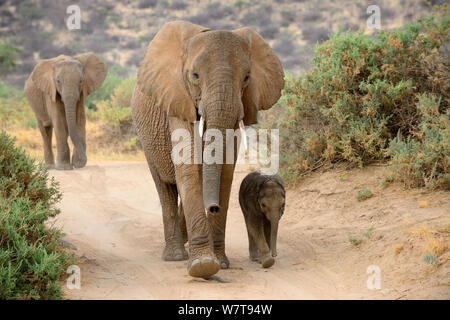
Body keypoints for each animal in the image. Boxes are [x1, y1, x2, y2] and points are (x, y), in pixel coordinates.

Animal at [131, 20, 284, 278]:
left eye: (247, 77)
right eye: (194, 76)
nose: (212, 207)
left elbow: (225, 172)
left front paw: (220, 262)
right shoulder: (177, 100)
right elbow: (189, 167)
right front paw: (203, 265)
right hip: (146, 140)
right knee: (165, 188)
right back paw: (175, 255)